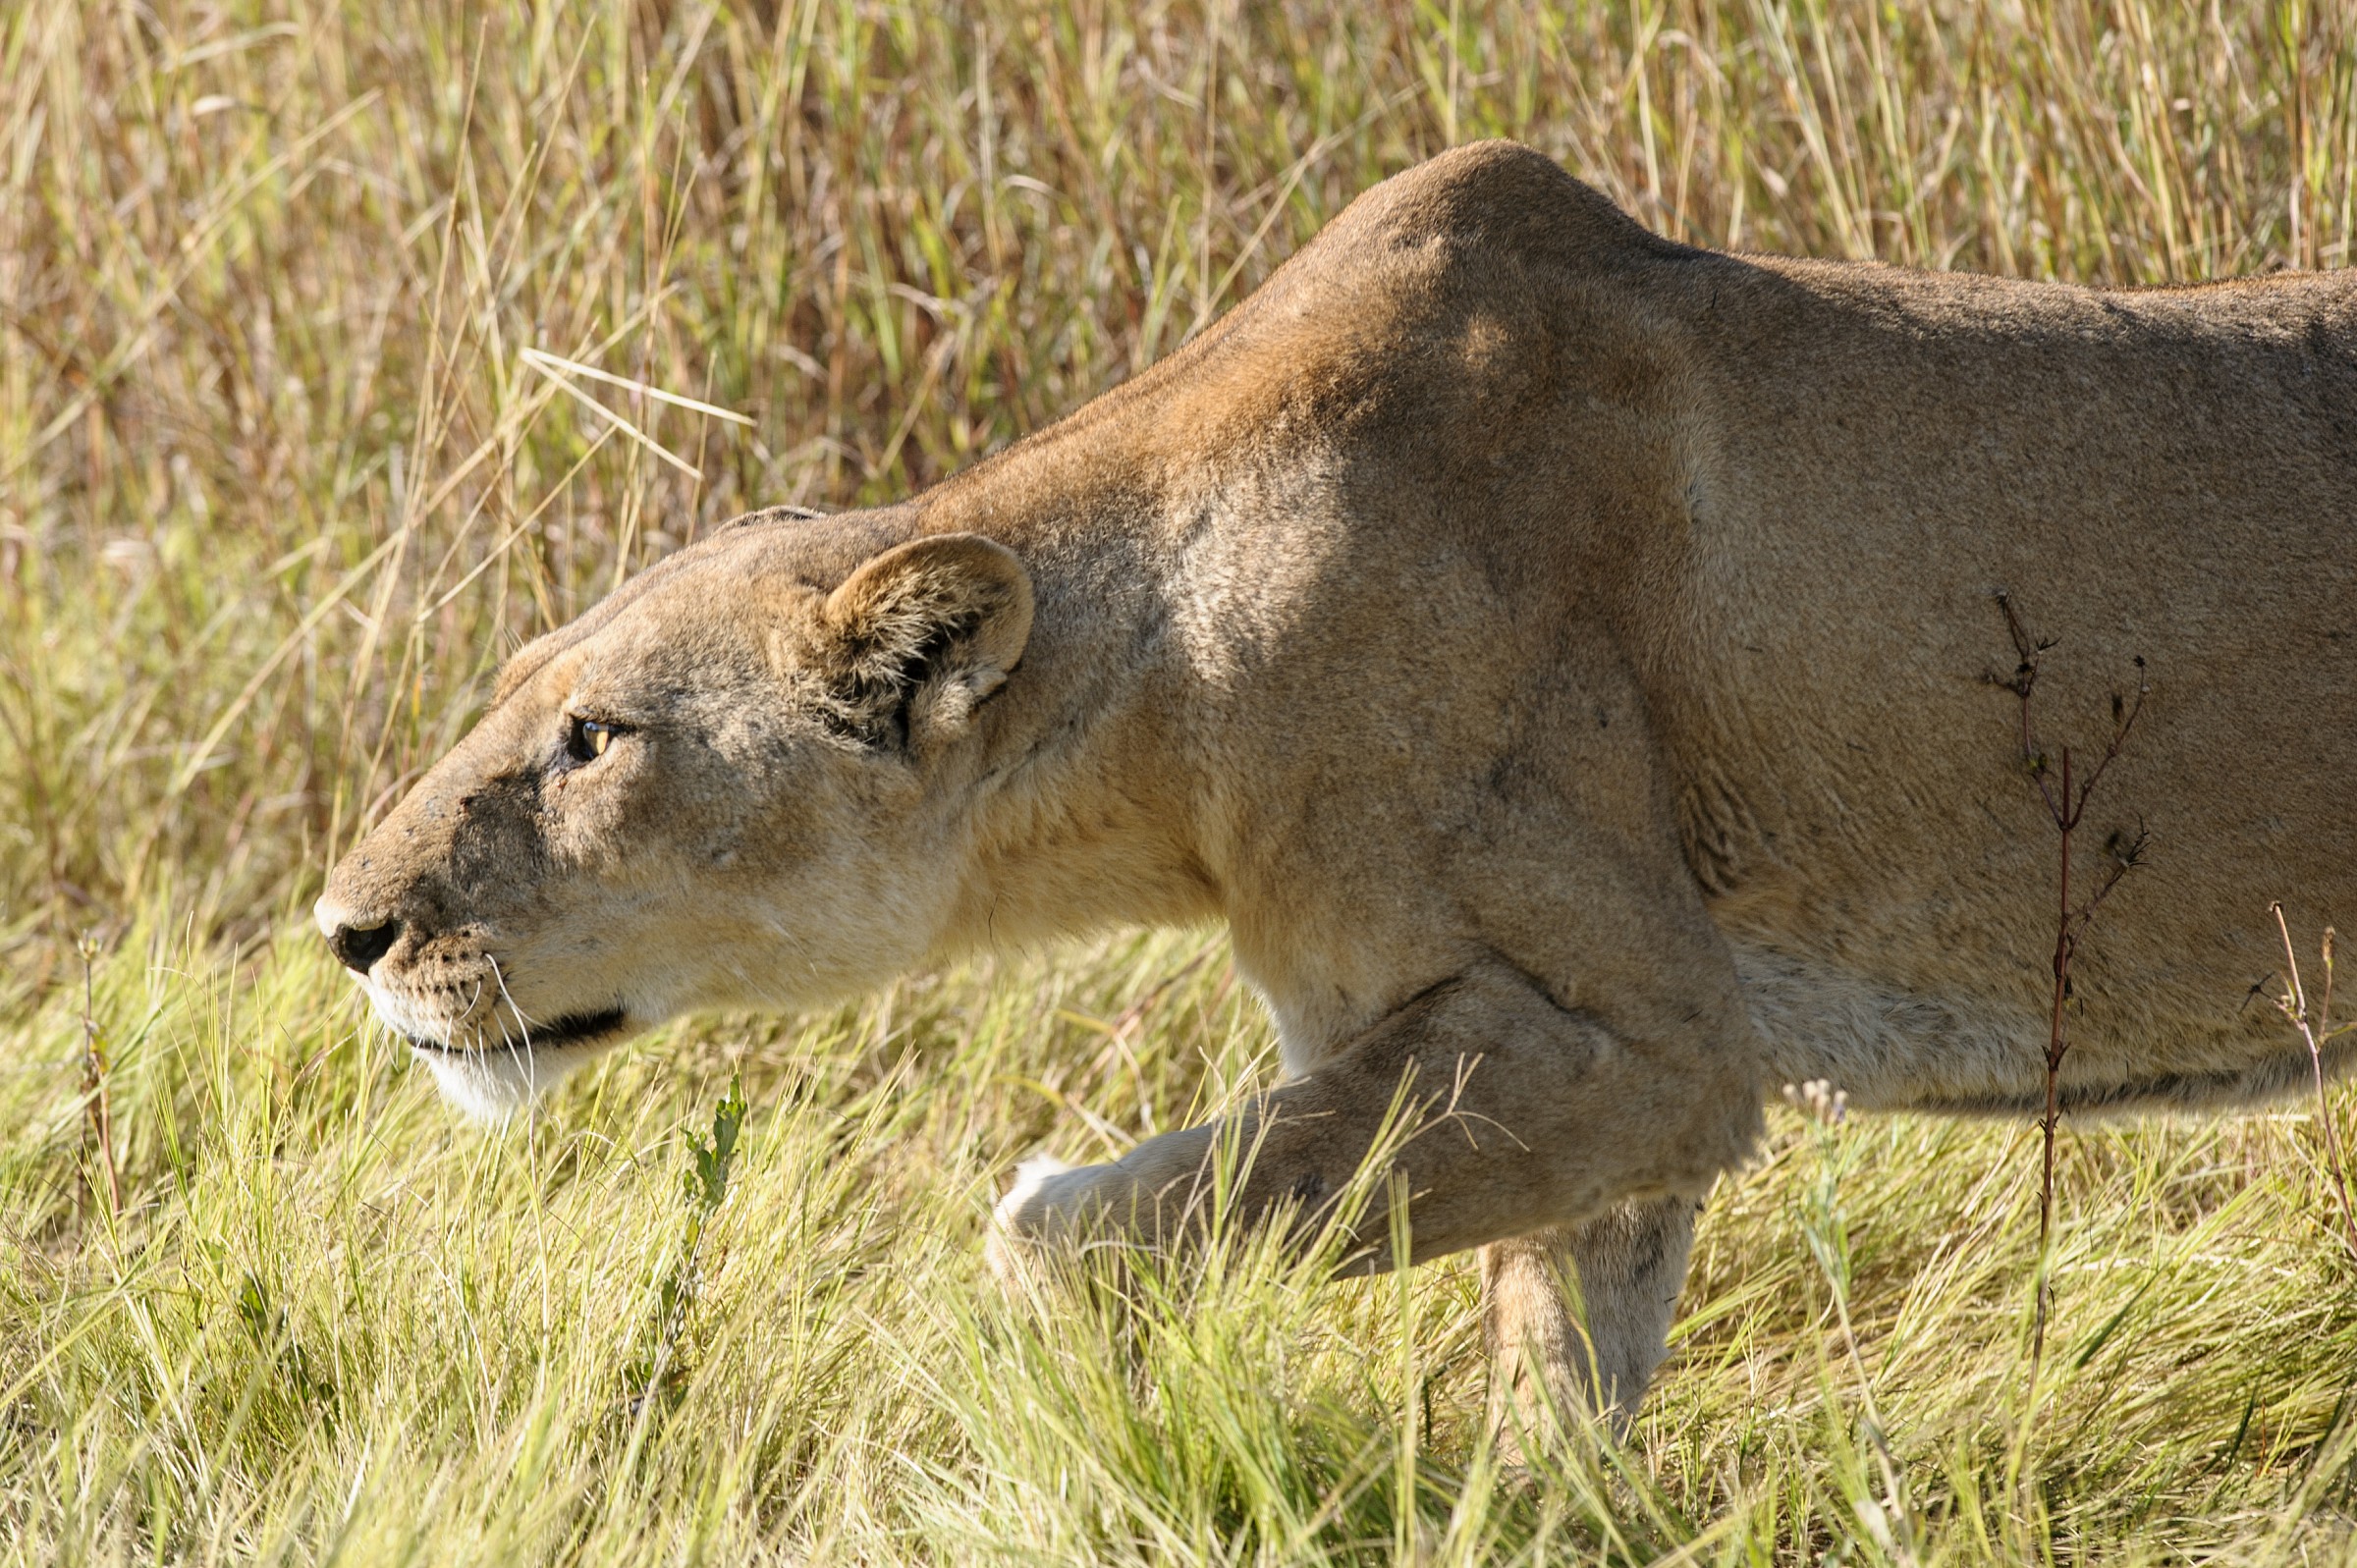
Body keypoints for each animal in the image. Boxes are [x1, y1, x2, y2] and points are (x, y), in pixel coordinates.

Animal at [316, 141, 2357, 1435]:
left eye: (597, 741)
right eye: (518, 697)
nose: (344, 930)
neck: (1167, 668)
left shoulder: (1645, 1036)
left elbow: (1074, 1224)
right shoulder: (1556, 1077)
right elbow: (1557, 1406)